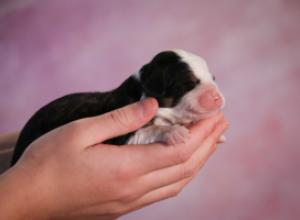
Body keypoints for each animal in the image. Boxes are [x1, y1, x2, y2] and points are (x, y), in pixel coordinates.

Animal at [10, 49, 224, 166]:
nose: (218, 98)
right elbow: (151, 130)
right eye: (188, 84)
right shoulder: (121, 137)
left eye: (213, 78)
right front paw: (174, 132)